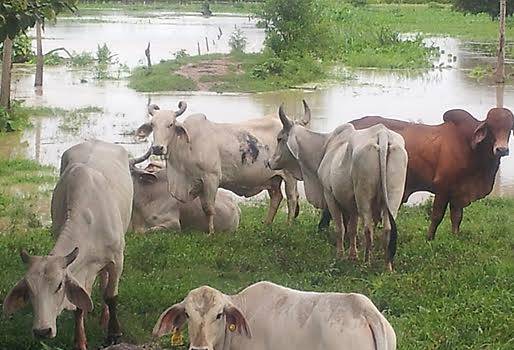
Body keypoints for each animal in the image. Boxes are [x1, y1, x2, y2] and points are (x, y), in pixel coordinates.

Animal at [2, 140, 133, 350]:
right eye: (29, 290)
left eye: (58, 286)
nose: (42, 331)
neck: (89, 220)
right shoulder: (79, 270)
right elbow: (79, 305)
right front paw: (80, 341)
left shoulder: (117, 258)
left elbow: (111, 297)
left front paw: (114, 334)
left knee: (105, 284)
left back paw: (105, 318)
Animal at [137, 101, 300, 235]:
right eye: (152, 125)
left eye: (170, 124)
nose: (157, 148)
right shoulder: (199, 183)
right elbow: (204, 208)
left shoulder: (211, 178)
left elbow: (209, 208)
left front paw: (211, 233)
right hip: (273, 179)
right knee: (276, 197)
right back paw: (267, 224)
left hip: (289, 176)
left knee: (292, 198)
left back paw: (288, 225)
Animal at [266, 102, 406, 270]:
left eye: (279, 138)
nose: (269, 162)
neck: (324, 147)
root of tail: (382, 134)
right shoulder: (352, 203)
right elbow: (352, 230)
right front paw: (352, 255)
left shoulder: (329, 195)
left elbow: (340, 228)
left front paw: (340, 255)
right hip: (393, 197)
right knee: (388, 228)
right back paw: (387, 266)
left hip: (363, 196)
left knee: (368, 229)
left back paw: (366, 263)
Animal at [348, 108, 512, 241]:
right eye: (491, 127)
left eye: (510, 129)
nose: (502, 149)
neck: (469, 145)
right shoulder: (443, 187)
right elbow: (437, 216)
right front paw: (430, 238)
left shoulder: (458, 191)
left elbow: (457, 217)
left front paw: (455, 237)